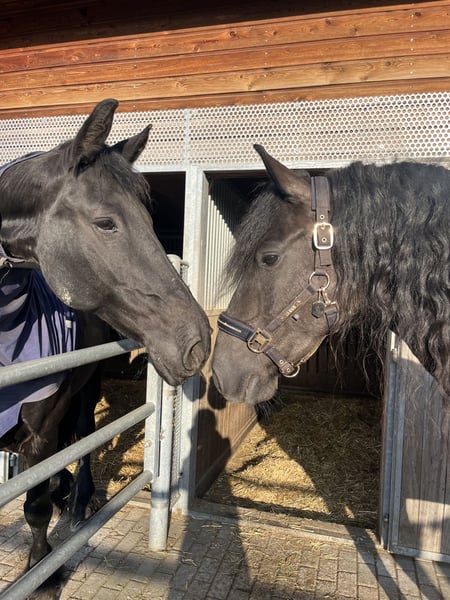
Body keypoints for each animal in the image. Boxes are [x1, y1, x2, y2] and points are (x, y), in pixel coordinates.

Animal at [0, 98, 211, 587]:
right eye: (105, 222)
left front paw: (43, 573)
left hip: (87, 386)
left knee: (82, 436)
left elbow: (35, 508)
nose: (197, 341)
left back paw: (79, 502)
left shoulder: (40, 433)